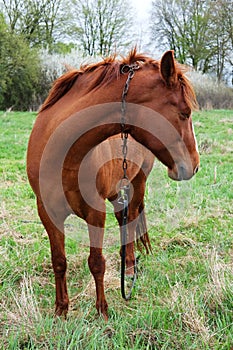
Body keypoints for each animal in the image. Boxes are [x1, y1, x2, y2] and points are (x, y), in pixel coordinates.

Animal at [26, 49, 198, 320]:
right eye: (184, 112)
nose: (193, 166)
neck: (61, 152)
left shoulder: (95, 212)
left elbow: (96, 262)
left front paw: (102, 311)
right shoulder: (47, 212)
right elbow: (59, 261)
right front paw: (61, 310)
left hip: (137, 184)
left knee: (131, 220)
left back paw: (129, 269)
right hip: (118, 192)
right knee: (123, 219)